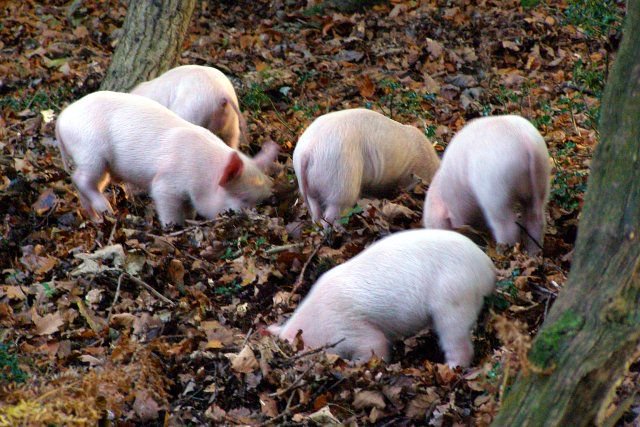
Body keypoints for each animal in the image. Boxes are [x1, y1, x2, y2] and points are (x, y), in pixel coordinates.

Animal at [55, 91, 278, 227]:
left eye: (260, 199)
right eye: (243, 199)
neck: (205, 173)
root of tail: (61, 119)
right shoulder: (166, 183)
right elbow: (166, 204)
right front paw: (173, 227)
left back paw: (97, 219)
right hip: (91, 151)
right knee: (81, 179)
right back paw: (107, 209)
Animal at [268, 229, 496, 367]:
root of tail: (487, 267)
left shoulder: (349, 329)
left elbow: (375, 346)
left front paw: (356, 365)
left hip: (455, 297)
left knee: (457, 338)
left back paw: (451, 367)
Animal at [422, 115, 551, 254]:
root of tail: (527, 142)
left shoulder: (459, 208)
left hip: (496, 188)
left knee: (507, 226)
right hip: (542, 178)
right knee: (536, 219)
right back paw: (533, 254)